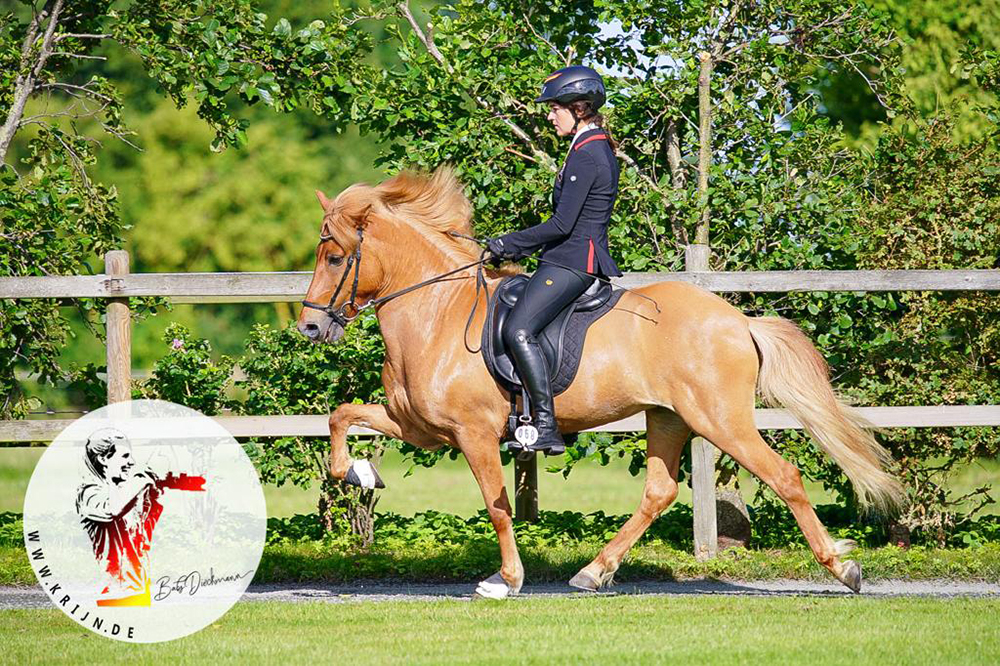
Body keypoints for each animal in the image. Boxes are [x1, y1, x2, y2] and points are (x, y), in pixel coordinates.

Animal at [296, 167, 908, 596]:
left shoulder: (472, 434)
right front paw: (360, 472)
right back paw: (595, 571)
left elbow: (497, 506)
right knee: (659, 492)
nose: (310, 326)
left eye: (336, 256)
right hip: (669, 417)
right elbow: (341, 416)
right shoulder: (419, 426)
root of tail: (738, 320)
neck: (437, 313)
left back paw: (843, 569)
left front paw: (506, 580)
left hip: (720, 420)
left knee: (783, 475)